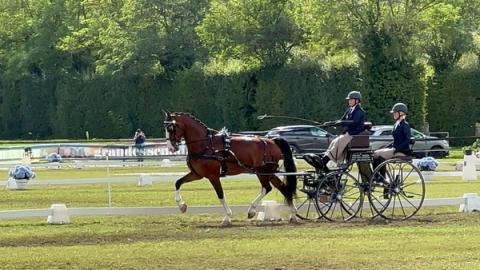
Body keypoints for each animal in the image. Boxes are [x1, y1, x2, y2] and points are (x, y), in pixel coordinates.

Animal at [166, 110, 300, 225]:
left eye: (172, 128)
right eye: (166, 128)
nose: (171, 148)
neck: (206, 144)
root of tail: (272, 140)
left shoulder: (213, 176)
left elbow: (220, 195)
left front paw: (227, 217)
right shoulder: (197, 174)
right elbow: (178, 183)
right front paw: (182, 206)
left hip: (262, 172)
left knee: (267, 188)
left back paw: (252, 210)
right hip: (269, 173)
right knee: (282, 188)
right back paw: (293, 215)